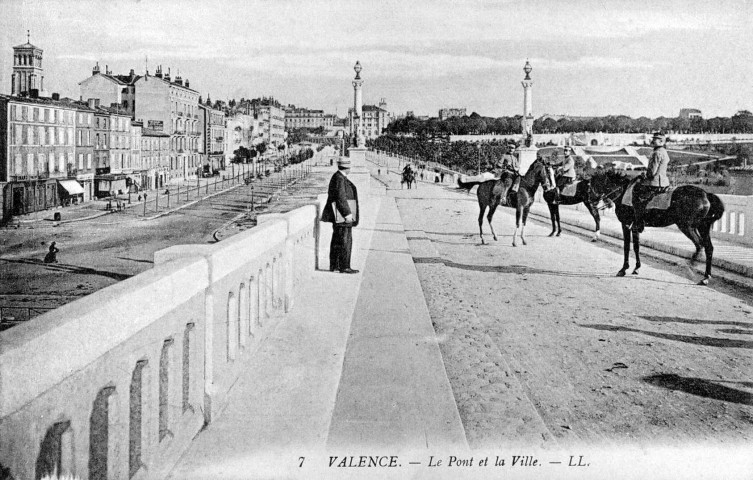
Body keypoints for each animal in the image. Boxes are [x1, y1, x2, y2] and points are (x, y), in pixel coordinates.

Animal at [588, 170, 724, 284]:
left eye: (590, 187)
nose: (591, 202)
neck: (623, 193)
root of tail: (706, 194)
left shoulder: (625, 225)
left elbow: (627, 247)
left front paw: (623, 269)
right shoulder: (635, 227)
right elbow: (636, 246)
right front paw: (636, 268)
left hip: (686, 226)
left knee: (699, 245)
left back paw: (690, 268)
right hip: (703, 227)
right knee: (708, 248)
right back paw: (706, 277)